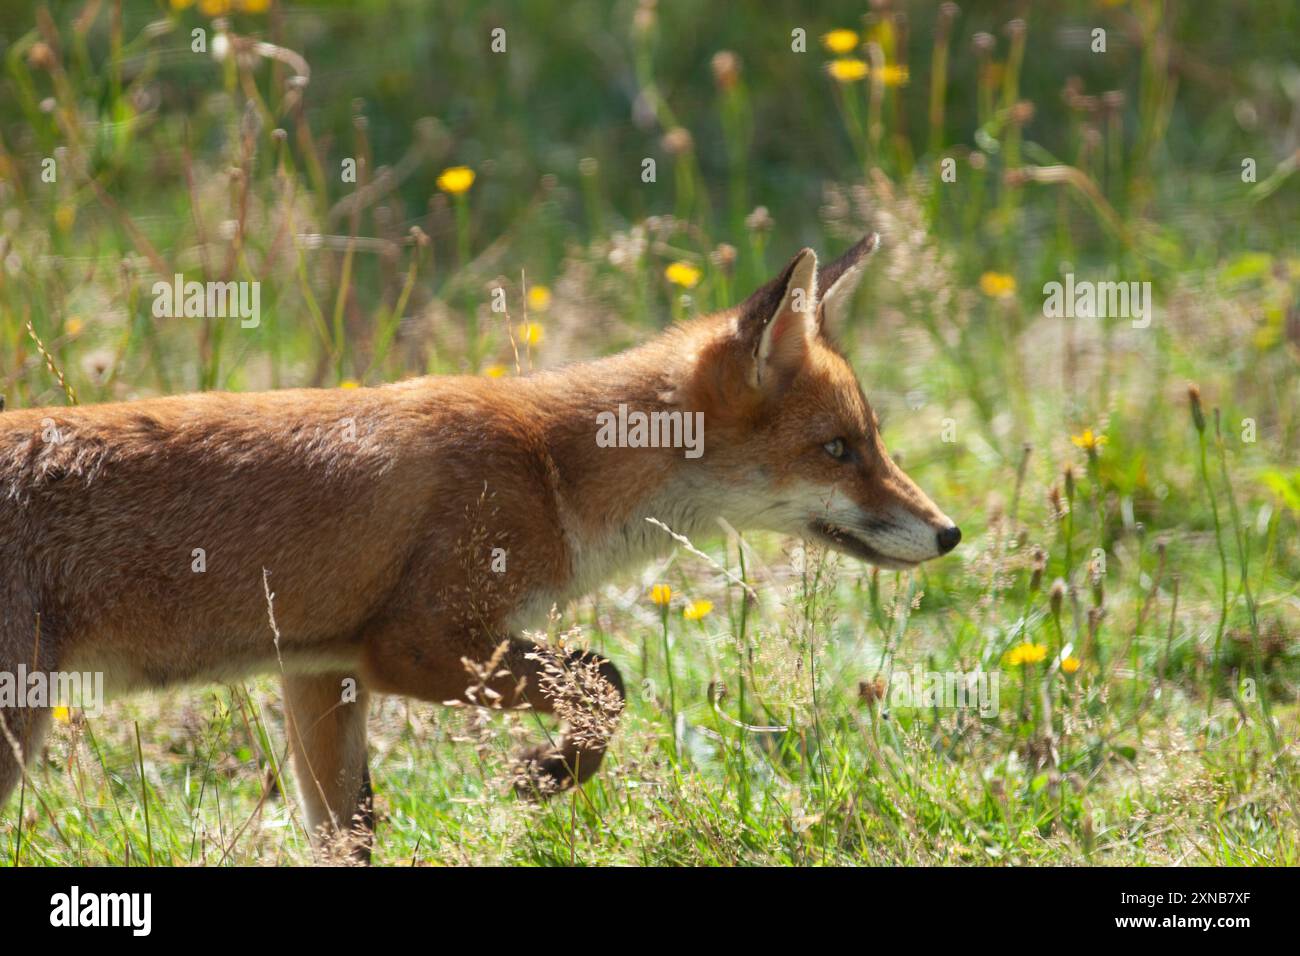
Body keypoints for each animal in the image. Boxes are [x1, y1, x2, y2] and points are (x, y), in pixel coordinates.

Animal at [0, 235, 956, 863]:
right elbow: (606, 680)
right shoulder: (415, 645)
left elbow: (346, 834)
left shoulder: (320, 672)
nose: (949, 532)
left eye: (872, 442)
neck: (549, 467)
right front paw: (548, 774)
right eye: (839, 450)